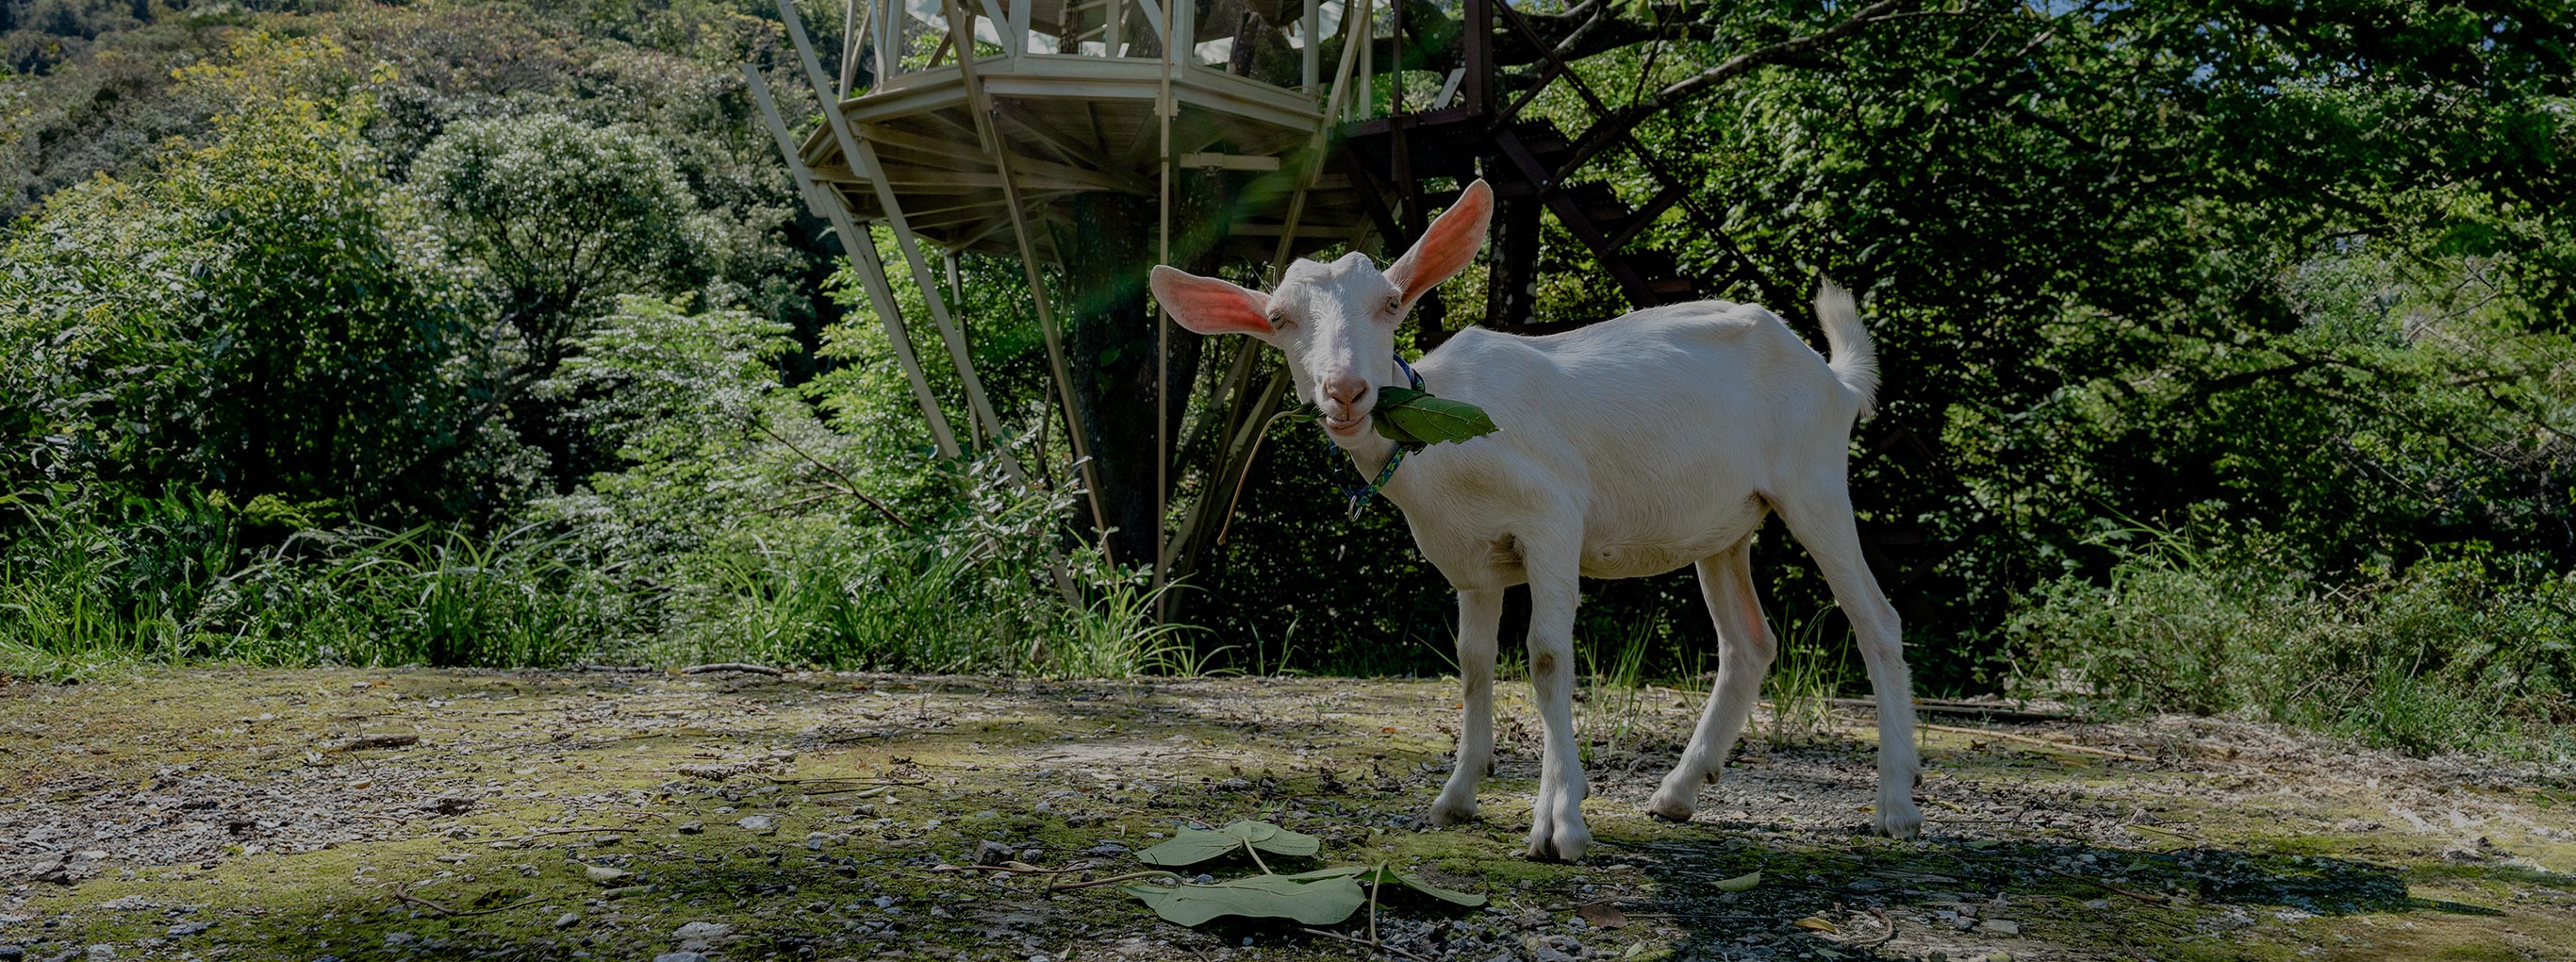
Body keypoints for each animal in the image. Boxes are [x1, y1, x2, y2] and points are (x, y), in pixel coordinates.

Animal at [1159, 177, 1926, 855]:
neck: (1439, 439)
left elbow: (1548, 656)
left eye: (1391, 303)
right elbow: (1474, 662)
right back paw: (1677, 793)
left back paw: (1895, 805)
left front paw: (1561, 824)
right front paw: (1458, 797)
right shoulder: (1473, 563)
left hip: (1813, 480)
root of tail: (1832, 377)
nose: (1345, 390)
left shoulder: (1552, 520)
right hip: (1725, 525)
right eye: (1278, 319)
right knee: (1748, 643)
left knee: (1876, 619)